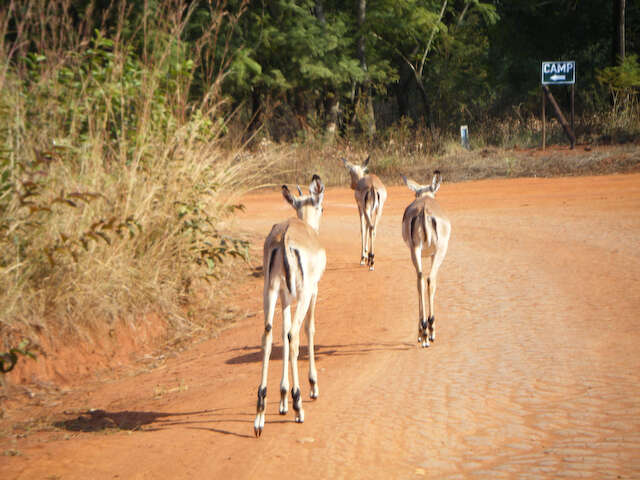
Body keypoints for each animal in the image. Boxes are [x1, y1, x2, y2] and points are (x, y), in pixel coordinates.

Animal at [254, 174, 328, 436]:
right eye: (321, 206)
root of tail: (285, 236)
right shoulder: (313, 291)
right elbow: (309, 330)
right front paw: (311, 388)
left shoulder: (285, 297)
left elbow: (282, 336)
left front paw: (283, 398)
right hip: (303, 294)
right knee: (295, 334)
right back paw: (299, 407)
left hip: (269, 292)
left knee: (268, 336)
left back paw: (260, 415)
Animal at [402, 171, 452, 346]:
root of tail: (424, 209)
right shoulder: (433, 254)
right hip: (439, 252)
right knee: (430, 279)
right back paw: (429, 331)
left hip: (415, 250)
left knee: (420, 280)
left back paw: (423, 332)